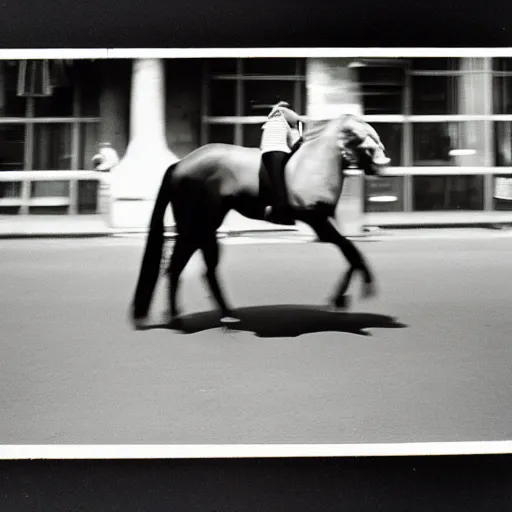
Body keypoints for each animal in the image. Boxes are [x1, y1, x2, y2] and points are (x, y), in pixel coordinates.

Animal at [130, 114, 390, 330]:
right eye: (369, 141)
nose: (383, 165)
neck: (316, 162)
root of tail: (179, 165)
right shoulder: (315, 218)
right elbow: (350, 249)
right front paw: (357, 289)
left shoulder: (319, 222)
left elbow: (348, 250)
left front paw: (341, 297)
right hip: (194, 227)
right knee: (177, 267)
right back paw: (179, 319)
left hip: (205, 228)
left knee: (203, 269)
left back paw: (222, 315)